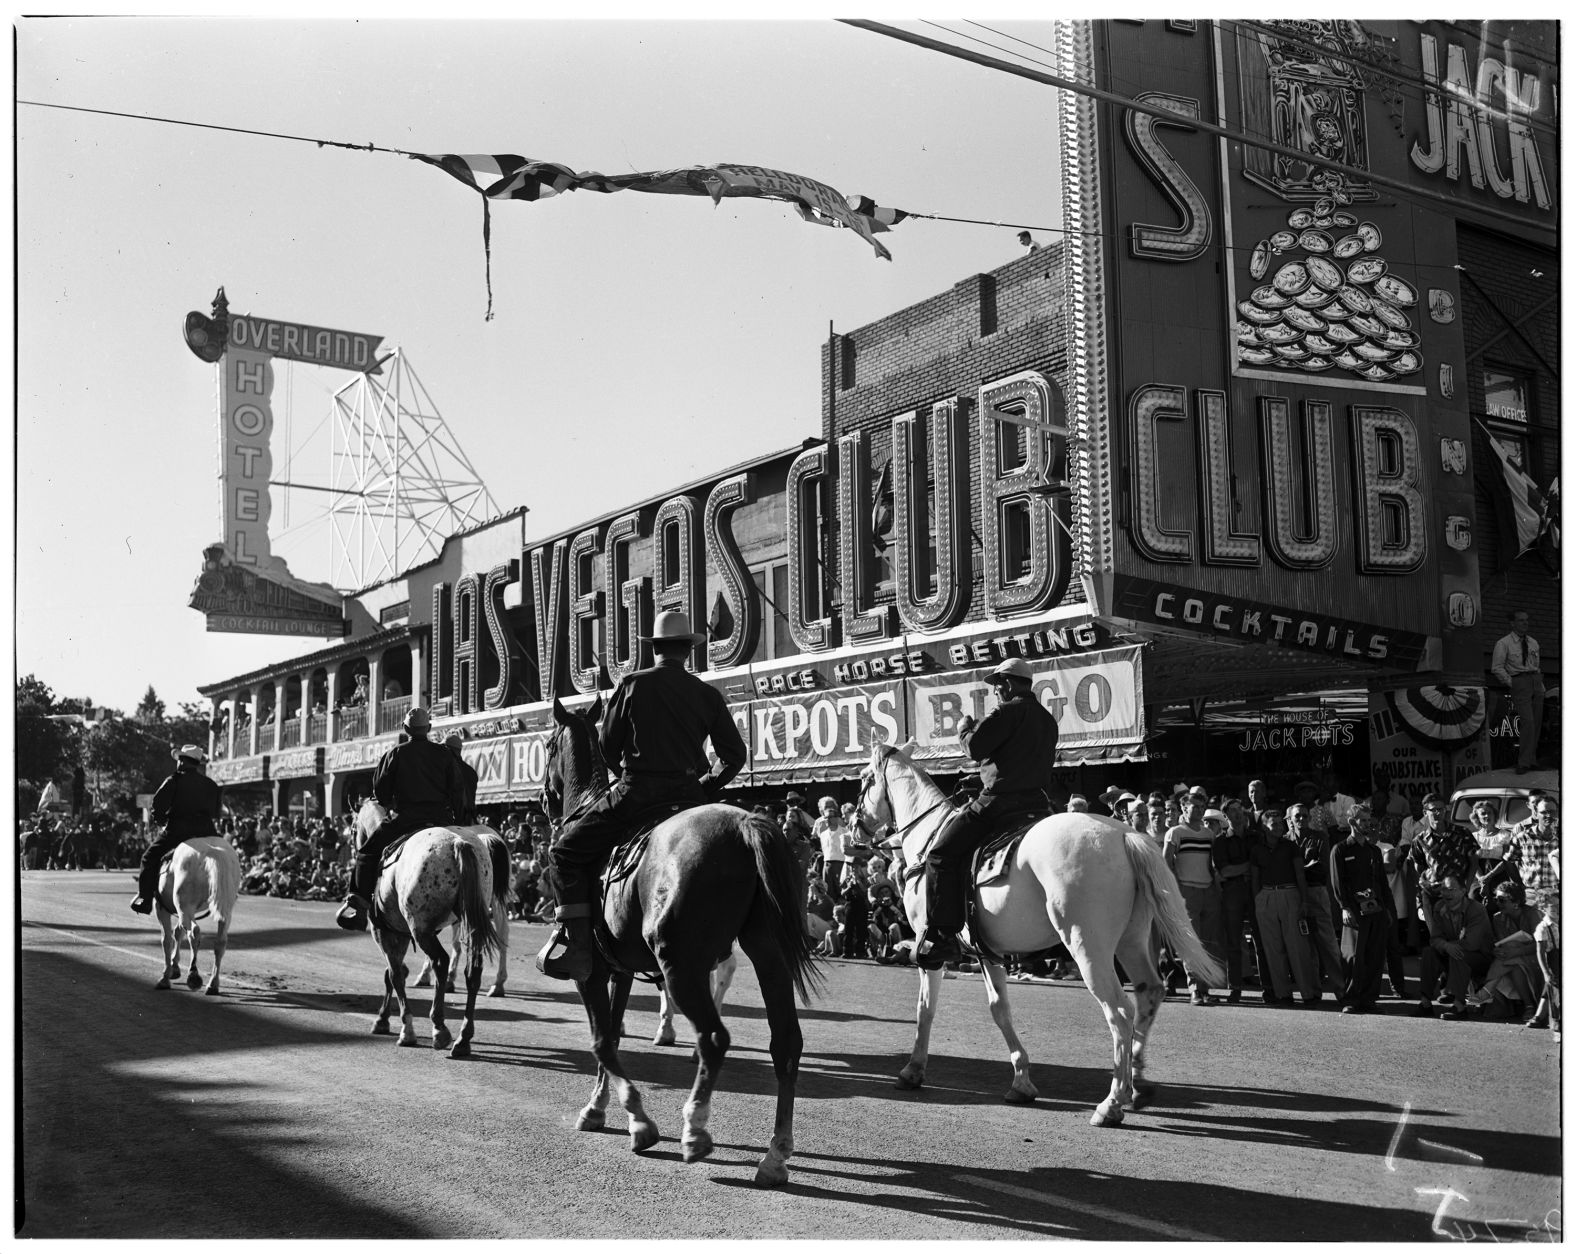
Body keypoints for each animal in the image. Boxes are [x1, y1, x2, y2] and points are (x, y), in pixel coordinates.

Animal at [152, 838, 241, 995]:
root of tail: (213, 852)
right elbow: (177, 932)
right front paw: (174, 967)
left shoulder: (161, 907)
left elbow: (167, 939)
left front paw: (165, 977)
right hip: (223, 912)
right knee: (220, 942)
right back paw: (213, 984)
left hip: (184, 908)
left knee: (194, 933)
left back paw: (193, 975)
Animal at [354, 803, 507, 1058]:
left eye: (354, 828)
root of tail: (458, 843)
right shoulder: (401, 932)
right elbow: (393, 973)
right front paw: (385, 1019)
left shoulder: (384, 931)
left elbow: (394, 975)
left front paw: (403, 1028)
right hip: (472, 920)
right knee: (473, 970)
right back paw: (463, 1037)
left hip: (422, 928)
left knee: (440, 961)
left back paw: (440, 1027)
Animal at [545, 696, 819, 1184]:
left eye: (546, 745)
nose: (544, 800)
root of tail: (746, 824)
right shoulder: (620, 972)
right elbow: (612, 1036)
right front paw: (600, 1107)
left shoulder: (589, 972)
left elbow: (601, 1041)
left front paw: (637, 1121)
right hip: (768, 955)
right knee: (785, 1043)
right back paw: (775, 1155)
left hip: (681, 967)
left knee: (713, 1037)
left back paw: (695, 1129)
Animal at [857, 743, 1222, 1127]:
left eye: (865, 780)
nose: (856, 827)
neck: (928, 838)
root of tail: (1123, 835)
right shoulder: (988, 952)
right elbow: (999, 1009)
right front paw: (1021, 1081)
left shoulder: (930, 951)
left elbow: (925, 1009)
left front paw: (912, 1070)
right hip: (1131, 941)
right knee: (1149, 993)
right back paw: (1136, 1083)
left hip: (1087, 947)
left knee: (1119, 1012)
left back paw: (1111, 1103)